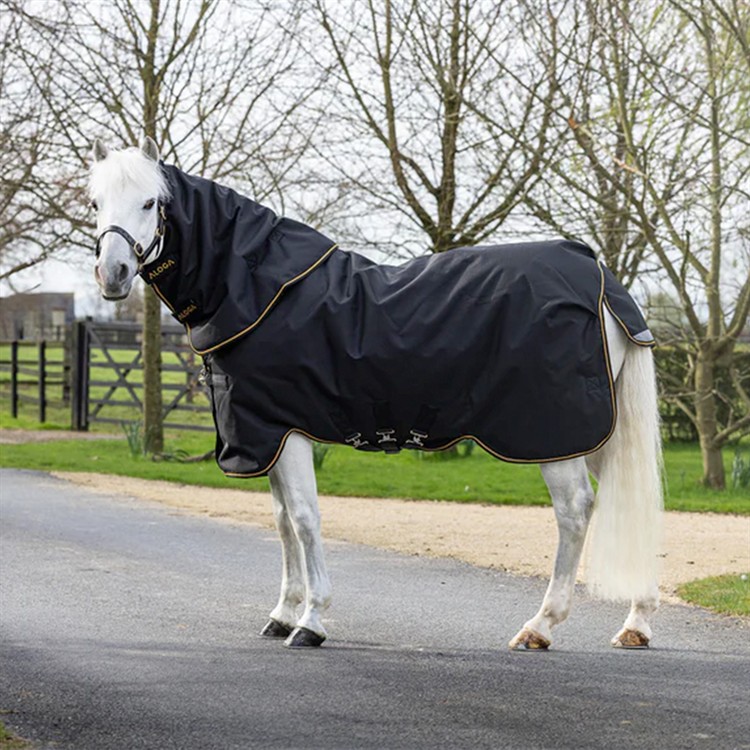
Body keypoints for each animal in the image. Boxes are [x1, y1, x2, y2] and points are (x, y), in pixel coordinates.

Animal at [88, 137, 663, 651]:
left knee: (575, 511)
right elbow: (282, 523)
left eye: (150, 202)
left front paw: (311, 622)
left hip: (553, 432)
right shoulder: (265, 435)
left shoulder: (287, 431)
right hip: (596, 428)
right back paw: (636, 623)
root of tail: (597, 274)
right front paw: (282, 613)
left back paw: (540, 626)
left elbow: (304, 520)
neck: (259, 290)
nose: (112, 274)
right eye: (96, 204)